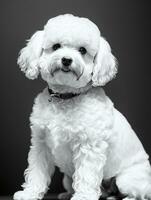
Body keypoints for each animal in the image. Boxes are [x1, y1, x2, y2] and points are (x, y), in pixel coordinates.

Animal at [13, 14, 151, 200]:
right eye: (56, 46)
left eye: (83, 50)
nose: (66, 59)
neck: (65, 97)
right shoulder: (41, 145)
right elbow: (37, 171)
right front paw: (30, 193)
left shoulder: (89, 146)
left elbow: (86, 175)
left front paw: (83, 196)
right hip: (67, 179)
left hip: (127, 179)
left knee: (141, 193)